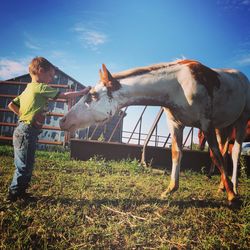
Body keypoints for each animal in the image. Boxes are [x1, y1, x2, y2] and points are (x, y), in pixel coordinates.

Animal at [59, 59, 249, 204]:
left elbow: (215, 156)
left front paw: (232, 197)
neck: (178, 85)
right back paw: (222, 186)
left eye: (92, 95)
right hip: (223, 127)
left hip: (240, 121)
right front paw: (170, 189)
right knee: (225, 152)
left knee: (235, 153)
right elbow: (177, 153)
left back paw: (234, 187)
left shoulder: (206, 124)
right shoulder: (176, 124)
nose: (62, 121)